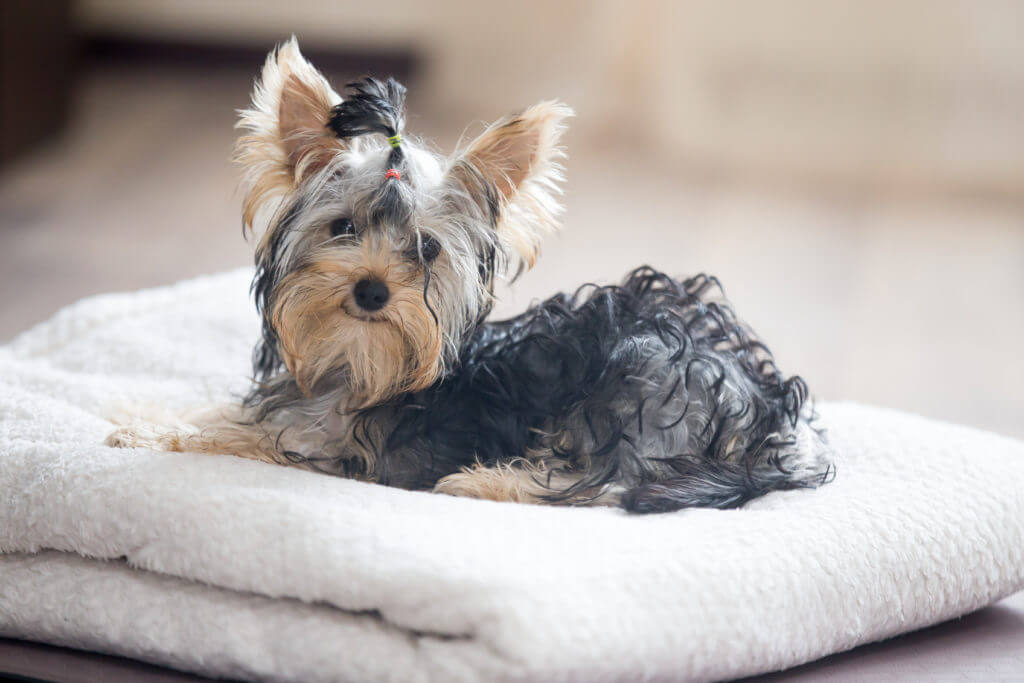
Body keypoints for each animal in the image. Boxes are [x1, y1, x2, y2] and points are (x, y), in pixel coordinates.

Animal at [108, 37, 835, 511]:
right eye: (343, 228)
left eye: (427, 250)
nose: (370, 290)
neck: (354, 361)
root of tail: (772, 413)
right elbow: (219, 410)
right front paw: (140, 411)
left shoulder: (331, 447)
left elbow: (232, 437)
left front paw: (155, 433)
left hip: (643, 380)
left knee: (607, 482)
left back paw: (483, 481)